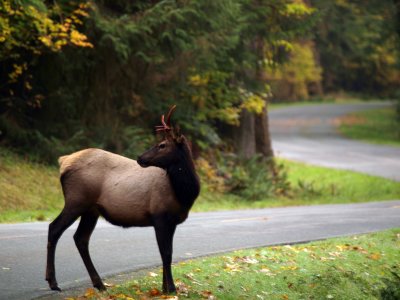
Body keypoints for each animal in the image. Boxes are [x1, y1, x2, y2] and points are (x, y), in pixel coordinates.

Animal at [46, 105, 200, 292]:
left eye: (162, 145)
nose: (140, 157)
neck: (184, 193)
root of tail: (63, 161)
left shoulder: (172, 221)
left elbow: (168, 252)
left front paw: (165, 287)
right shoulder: (159, 215)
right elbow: (166, 253)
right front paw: (170, 288)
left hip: (91, 210)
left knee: (81, 238)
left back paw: (99, 283)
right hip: (76, 200)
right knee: (54, 228)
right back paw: (53, 282)